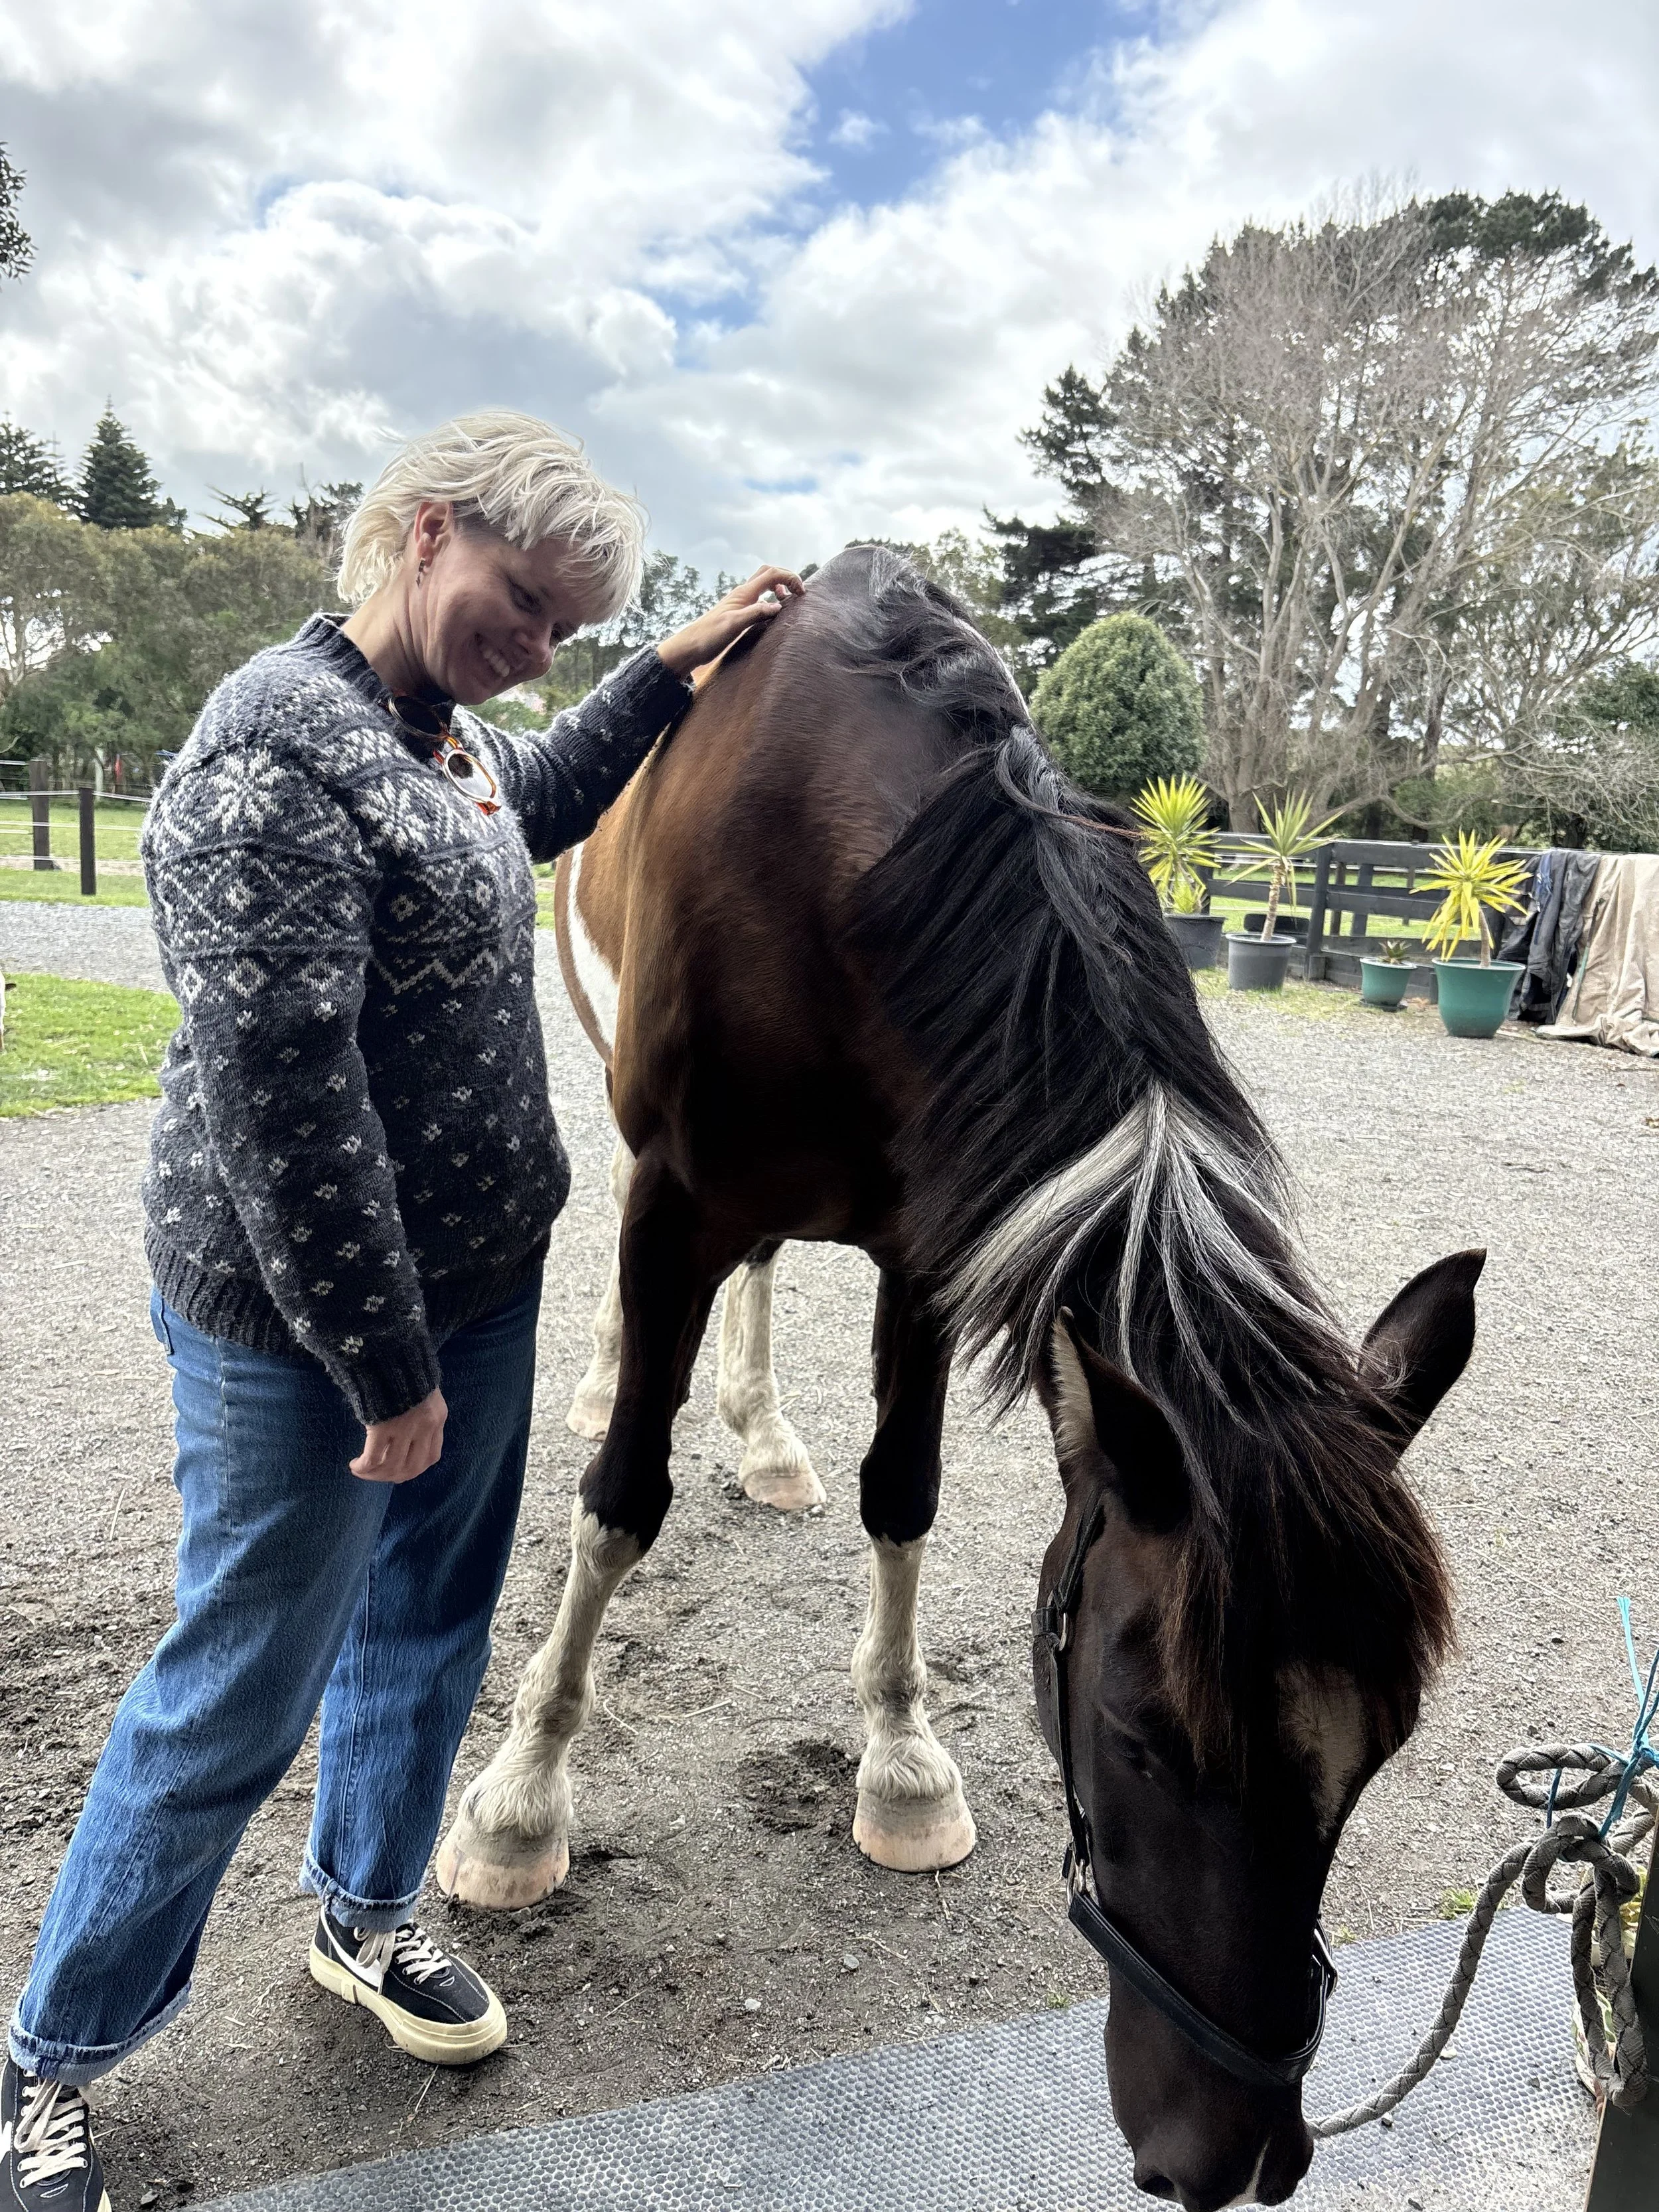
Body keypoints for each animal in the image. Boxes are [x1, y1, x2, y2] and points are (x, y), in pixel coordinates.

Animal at [435, 546, 1478, 2208]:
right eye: (1138, 1732)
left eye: (1377, 1746)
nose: (1232, 2147)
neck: (843, 872)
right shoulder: (673, 1197)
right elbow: (618, 1504)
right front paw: (523, 1793)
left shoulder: (930, 1242)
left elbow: (903, 1494)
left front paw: (900, 1761)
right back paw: (620, 1386)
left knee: (764, 1287)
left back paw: (764, 1435)